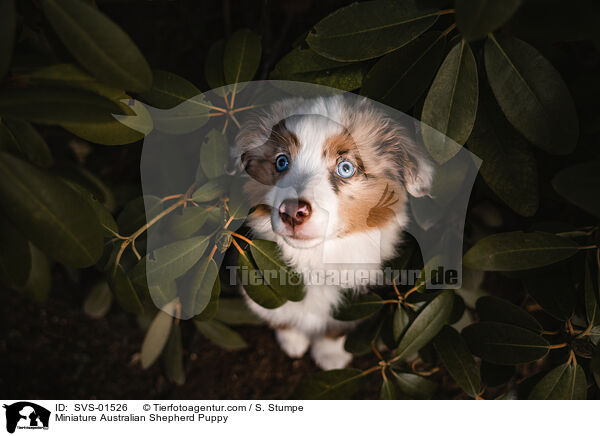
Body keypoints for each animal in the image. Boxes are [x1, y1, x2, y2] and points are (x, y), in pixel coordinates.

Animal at [233, 94, 432, 368]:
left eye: (345, 168)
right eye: (281, 162)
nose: (292, 212)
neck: (314, 260)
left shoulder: (354, 302)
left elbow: (335, 330)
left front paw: (330, 358)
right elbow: (280, 317)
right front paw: (292, 342)